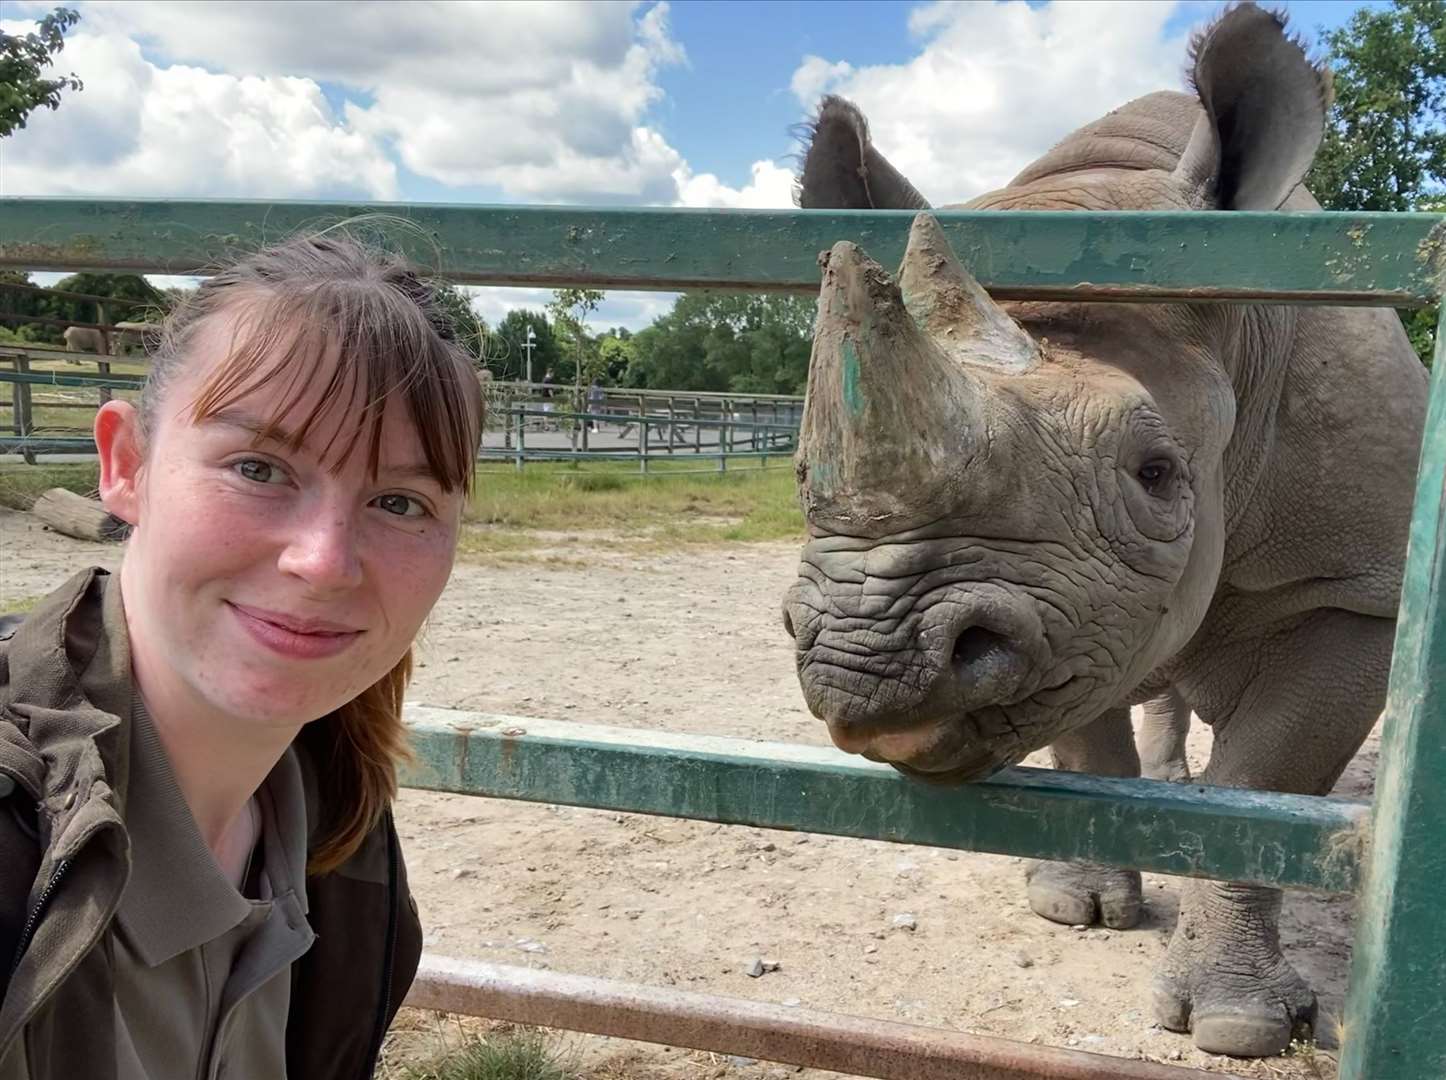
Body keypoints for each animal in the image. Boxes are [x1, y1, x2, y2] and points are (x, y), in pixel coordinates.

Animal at [780, 2, 1422, 1064]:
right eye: (800, 473)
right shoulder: (1075, 609)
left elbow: (1265, 773)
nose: (864, 665)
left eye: (1156, 476)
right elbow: (1085, 734)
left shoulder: (1354, 586)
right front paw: (1074, 908)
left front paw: (1238, 1028)